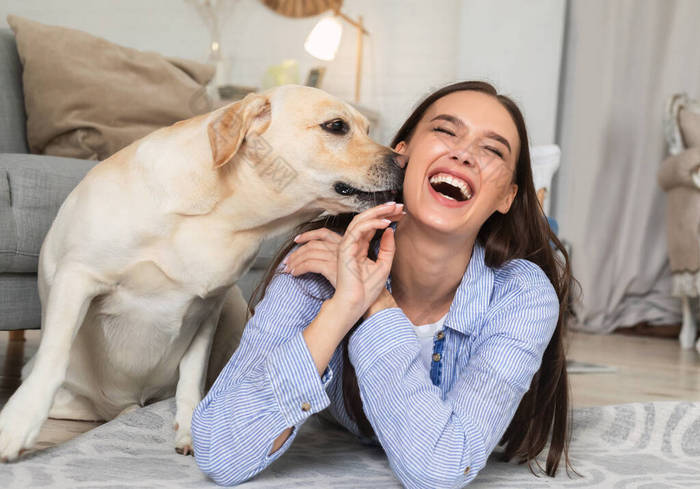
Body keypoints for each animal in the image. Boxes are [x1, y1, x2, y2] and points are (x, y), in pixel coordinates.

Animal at [0, 85, 404, 462]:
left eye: (368, 129)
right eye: (336, 126)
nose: (404, 161)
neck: (221, 216)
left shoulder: (209, 305)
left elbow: (191, 375)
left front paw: (189, 430)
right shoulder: (77, 277)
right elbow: (53, 358)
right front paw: (17, 425)